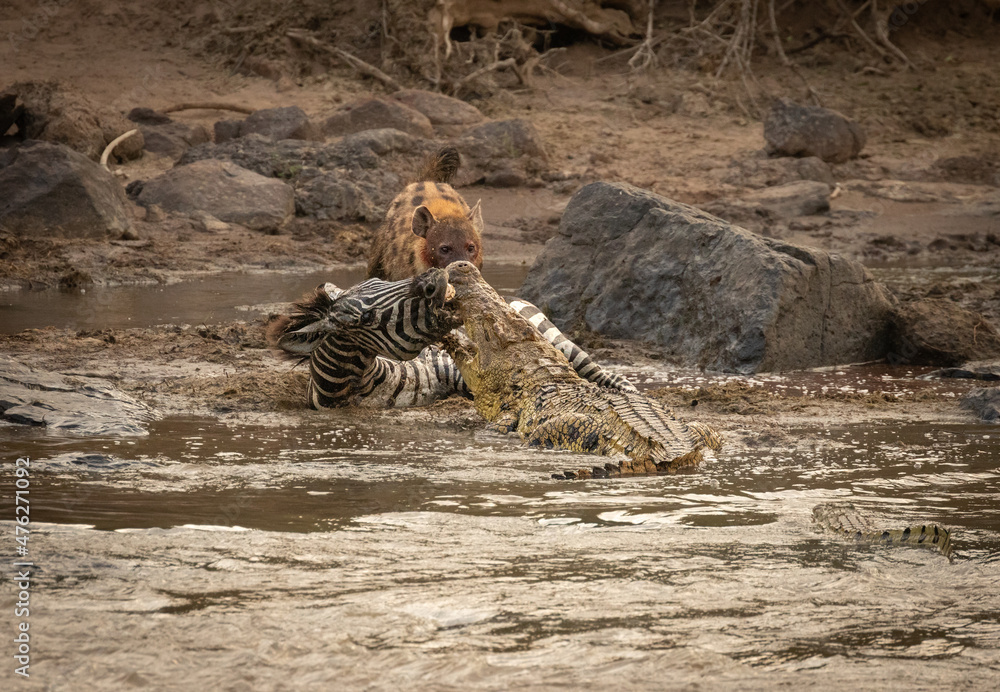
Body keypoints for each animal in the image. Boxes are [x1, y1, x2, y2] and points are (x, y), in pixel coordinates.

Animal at [270, 269, 637, 409]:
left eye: (379, 279)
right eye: (365, 319)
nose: (434, 279)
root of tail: (510, 296)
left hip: (555, 339)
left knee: (600, 372)